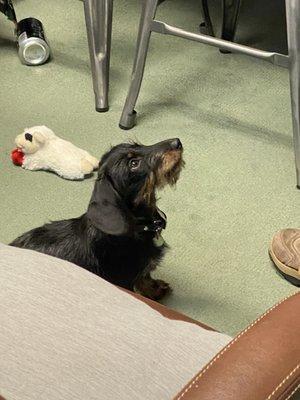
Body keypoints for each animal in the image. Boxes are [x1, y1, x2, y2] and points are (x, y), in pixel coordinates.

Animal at [10, 139, 184, 298]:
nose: (177, 142)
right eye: (134, 163)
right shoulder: (124, 281)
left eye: (139, 145)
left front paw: (155, 289)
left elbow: (145, 279)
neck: (136, 227)